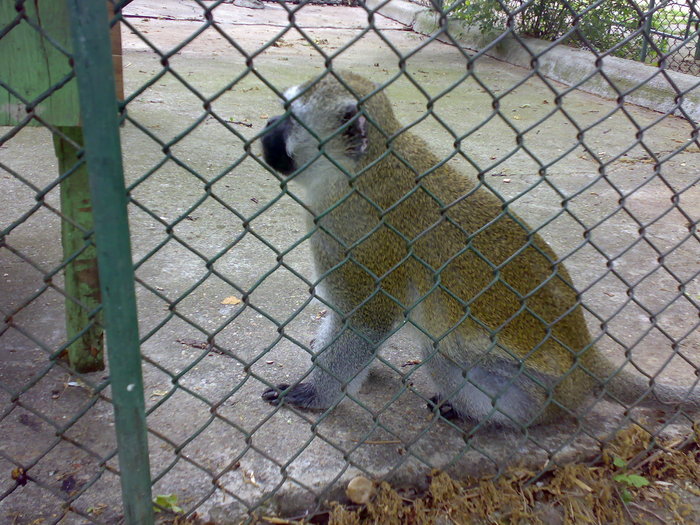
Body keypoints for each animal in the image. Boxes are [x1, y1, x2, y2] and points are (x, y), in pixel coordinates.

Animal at [258, 71, 700, 428]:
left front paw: (315, 394)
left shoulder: (350, 226)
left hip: (539, 386)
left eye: (290, 117)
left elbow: (365, 321)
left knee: (440, 351)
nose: (267, 123)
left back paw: (502, 418)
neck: (367, 165)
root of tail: (584, 353)